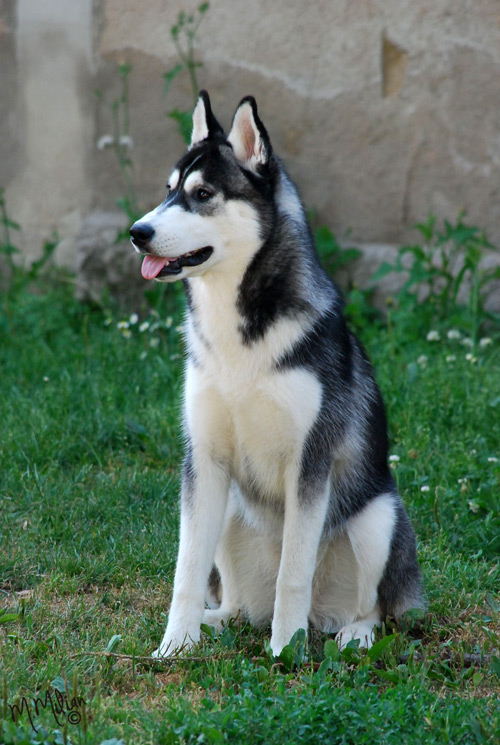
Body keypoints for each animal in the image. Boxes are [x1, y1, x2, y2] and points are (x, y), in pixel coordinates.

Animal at [129, 91, 423, 657]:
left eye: (203, 194)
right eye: (167, 191)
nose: (137, 233)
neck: (239, 331)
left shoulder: (310, 460)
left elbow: (294, 571)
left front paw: (286, 651)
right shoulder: (203, 459)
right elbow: (186, 570)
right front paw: (174, 644)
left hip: (380, 517)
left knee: (374, 607)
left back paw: (349, 632)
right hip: (229, 510)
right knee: (235, 600)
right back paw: (217, 621)